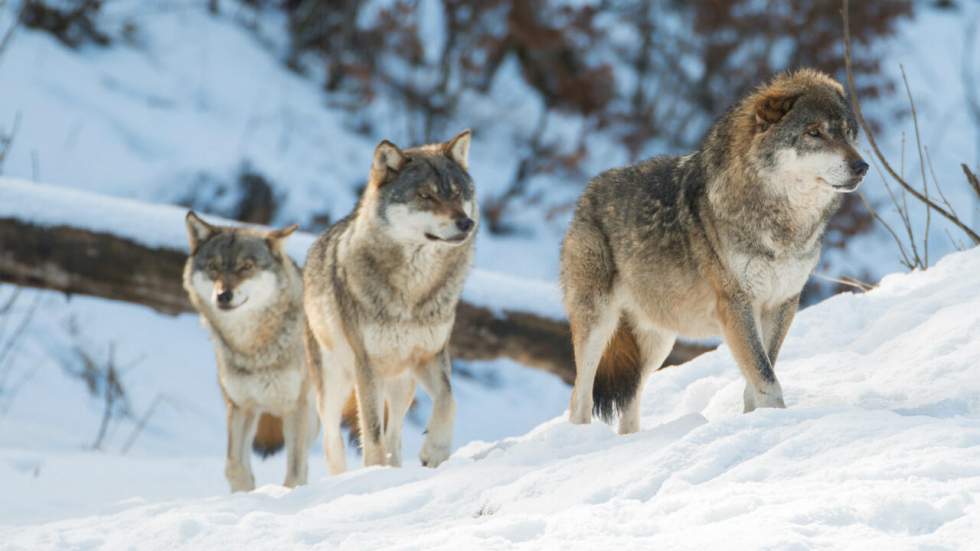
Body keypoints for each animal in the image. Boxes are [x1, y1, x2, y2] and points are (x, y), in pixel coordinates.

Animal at [184, 213, 318, 494]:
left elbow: (295, 472)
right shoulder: (241, 406)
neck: (254, 347)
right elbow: (234, 466)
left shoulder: (295, 407)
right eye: (214, 267)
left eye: (246, 267)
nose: (223, 295)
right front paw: (244, 494)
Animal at [304, 130, 476, 474]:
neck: (412, 291)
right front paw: (372, 471)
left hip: (401, 385)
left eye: (457, 193)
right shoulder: (367, 366)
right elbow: (371, 432)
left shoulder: (430, 356)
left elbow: (448, 400)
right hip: (335, 385)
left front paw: (435, 451)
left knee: (394, 432)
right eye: (426, 196)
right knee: (333, 440)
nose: (466, 223)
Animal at [564, 69, 868, 434]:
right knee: (579, 400)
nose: (862, 166)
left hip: (656, 344)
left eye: (848, 133)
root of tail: (585, 195)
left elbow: (759, 376)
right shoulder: (736, 305)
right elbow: (766, 378)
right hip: (599, 325)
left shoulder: (782, 303)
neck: (783, 225)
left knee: (629, 405)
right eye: (814, 133)